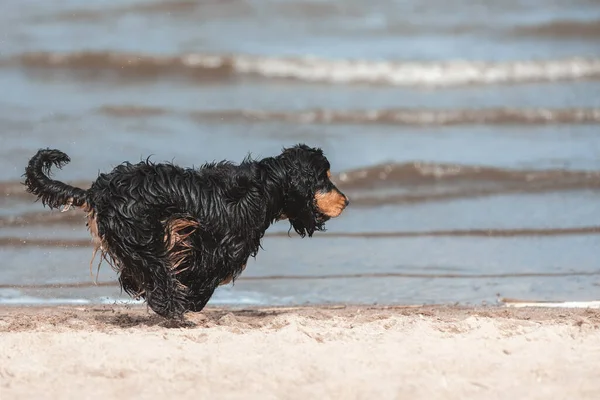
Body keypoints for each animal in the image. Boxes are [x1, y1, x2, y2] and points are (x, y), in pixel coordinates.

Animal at [24, 144, 346, 318]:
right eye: (324, 178)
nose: (346, 200)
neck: (265, 187)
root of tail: (98, 192)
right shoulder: (217, 249)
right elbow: (203, 279)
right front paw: (190, 301)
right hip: (143, 235)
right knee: (156, 273)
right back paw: (172, 307)